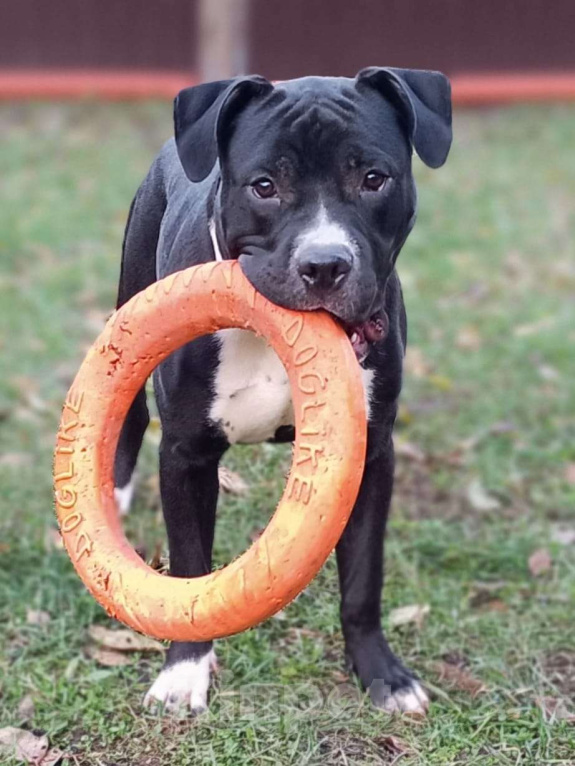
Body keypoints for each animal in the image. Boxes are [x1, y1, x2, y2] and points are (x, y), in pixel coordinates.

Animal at [113, 69, 454, 716]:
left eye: (373, 179)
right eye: (265, 186)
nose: (324, 265)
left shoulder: (371, 453)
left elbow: (363, 578)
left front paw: (382, 674)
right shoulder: (185, 454)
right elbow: (190, 564)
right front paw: (184, 675)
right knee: (127, 421)